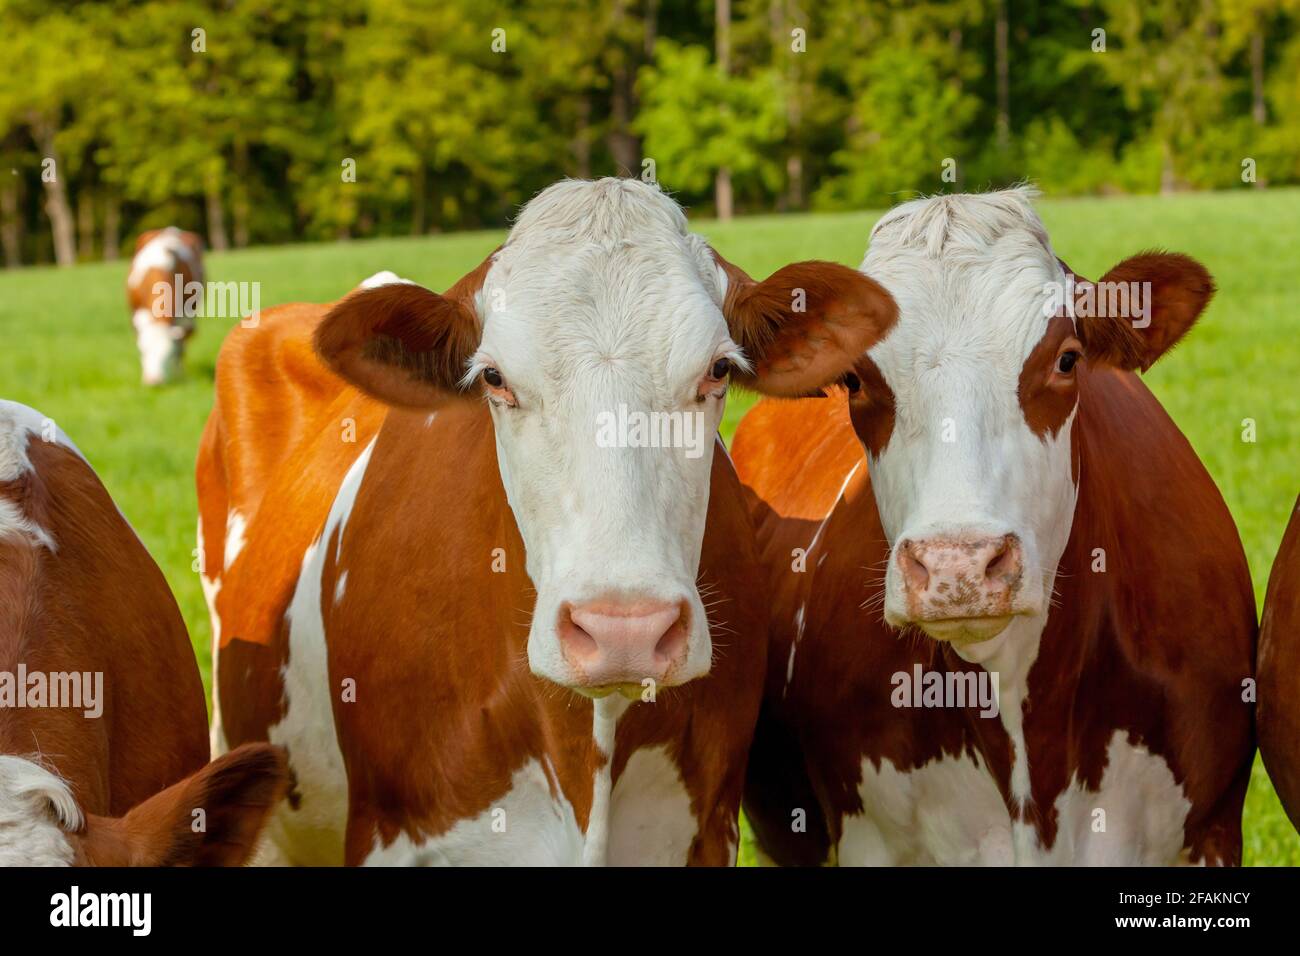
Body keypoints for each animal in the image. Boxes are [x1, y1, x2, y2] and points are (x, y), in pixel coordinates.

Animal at [127, 226, 204, 387]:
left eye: (168, 354)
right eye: (143, 351)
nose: (153, 382)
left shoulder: (185, 317)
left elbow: (180, 348)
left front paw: (179, 376)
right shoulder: (137, 314)